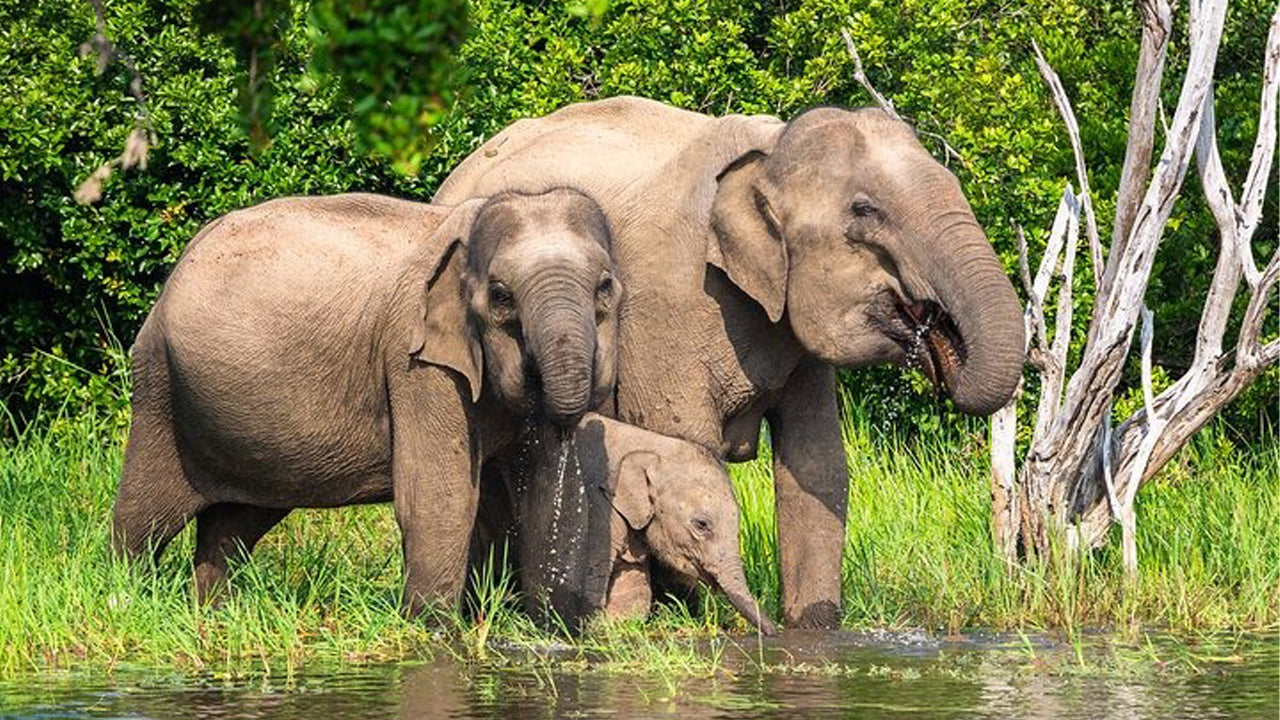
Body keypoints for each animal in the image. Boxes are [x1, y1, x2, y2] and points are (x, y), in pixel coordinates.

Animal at [111, 189, 621, 614]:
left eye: (605, 288)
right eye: (500, 296)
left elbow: (533, 494)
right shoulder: (414, 361)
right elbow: (438, 497)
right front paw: (434, 633)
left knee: (234, 525)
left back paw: (216, 612)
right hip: (160, 387)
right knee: (143, 520)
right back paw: (128, 599)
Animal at [435, 96, 1025, 628]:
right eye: (865, 211)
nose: (933, 333)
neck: (771, 151)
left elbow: (818, 466)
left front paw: (814, 630)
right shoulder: (668, 303)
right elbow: (683, 437)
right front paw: (692, 617)